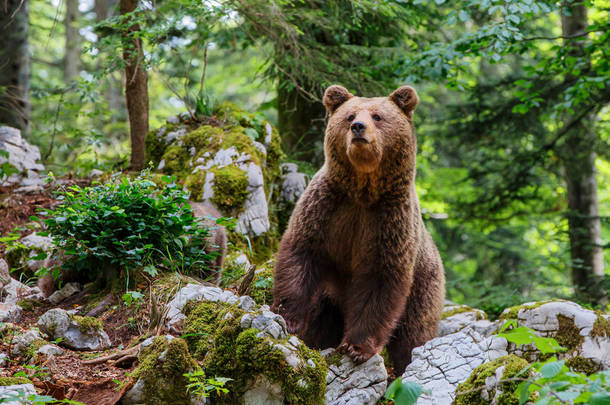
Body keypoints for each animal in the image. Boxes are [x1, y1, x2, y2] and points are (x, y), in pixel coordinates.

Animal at [274, 85, 444, 372]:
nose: (358, 127)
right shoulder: (326, 210)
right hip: (329, 297)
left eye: (377, 116)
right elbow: (300, 255)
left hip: (423, 287)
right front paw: (288, 319)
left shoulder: (387, 223)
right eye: (350, 115)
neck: (363, 190)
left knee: (413, 334)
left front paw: (357, 347)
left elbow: (379, 281)